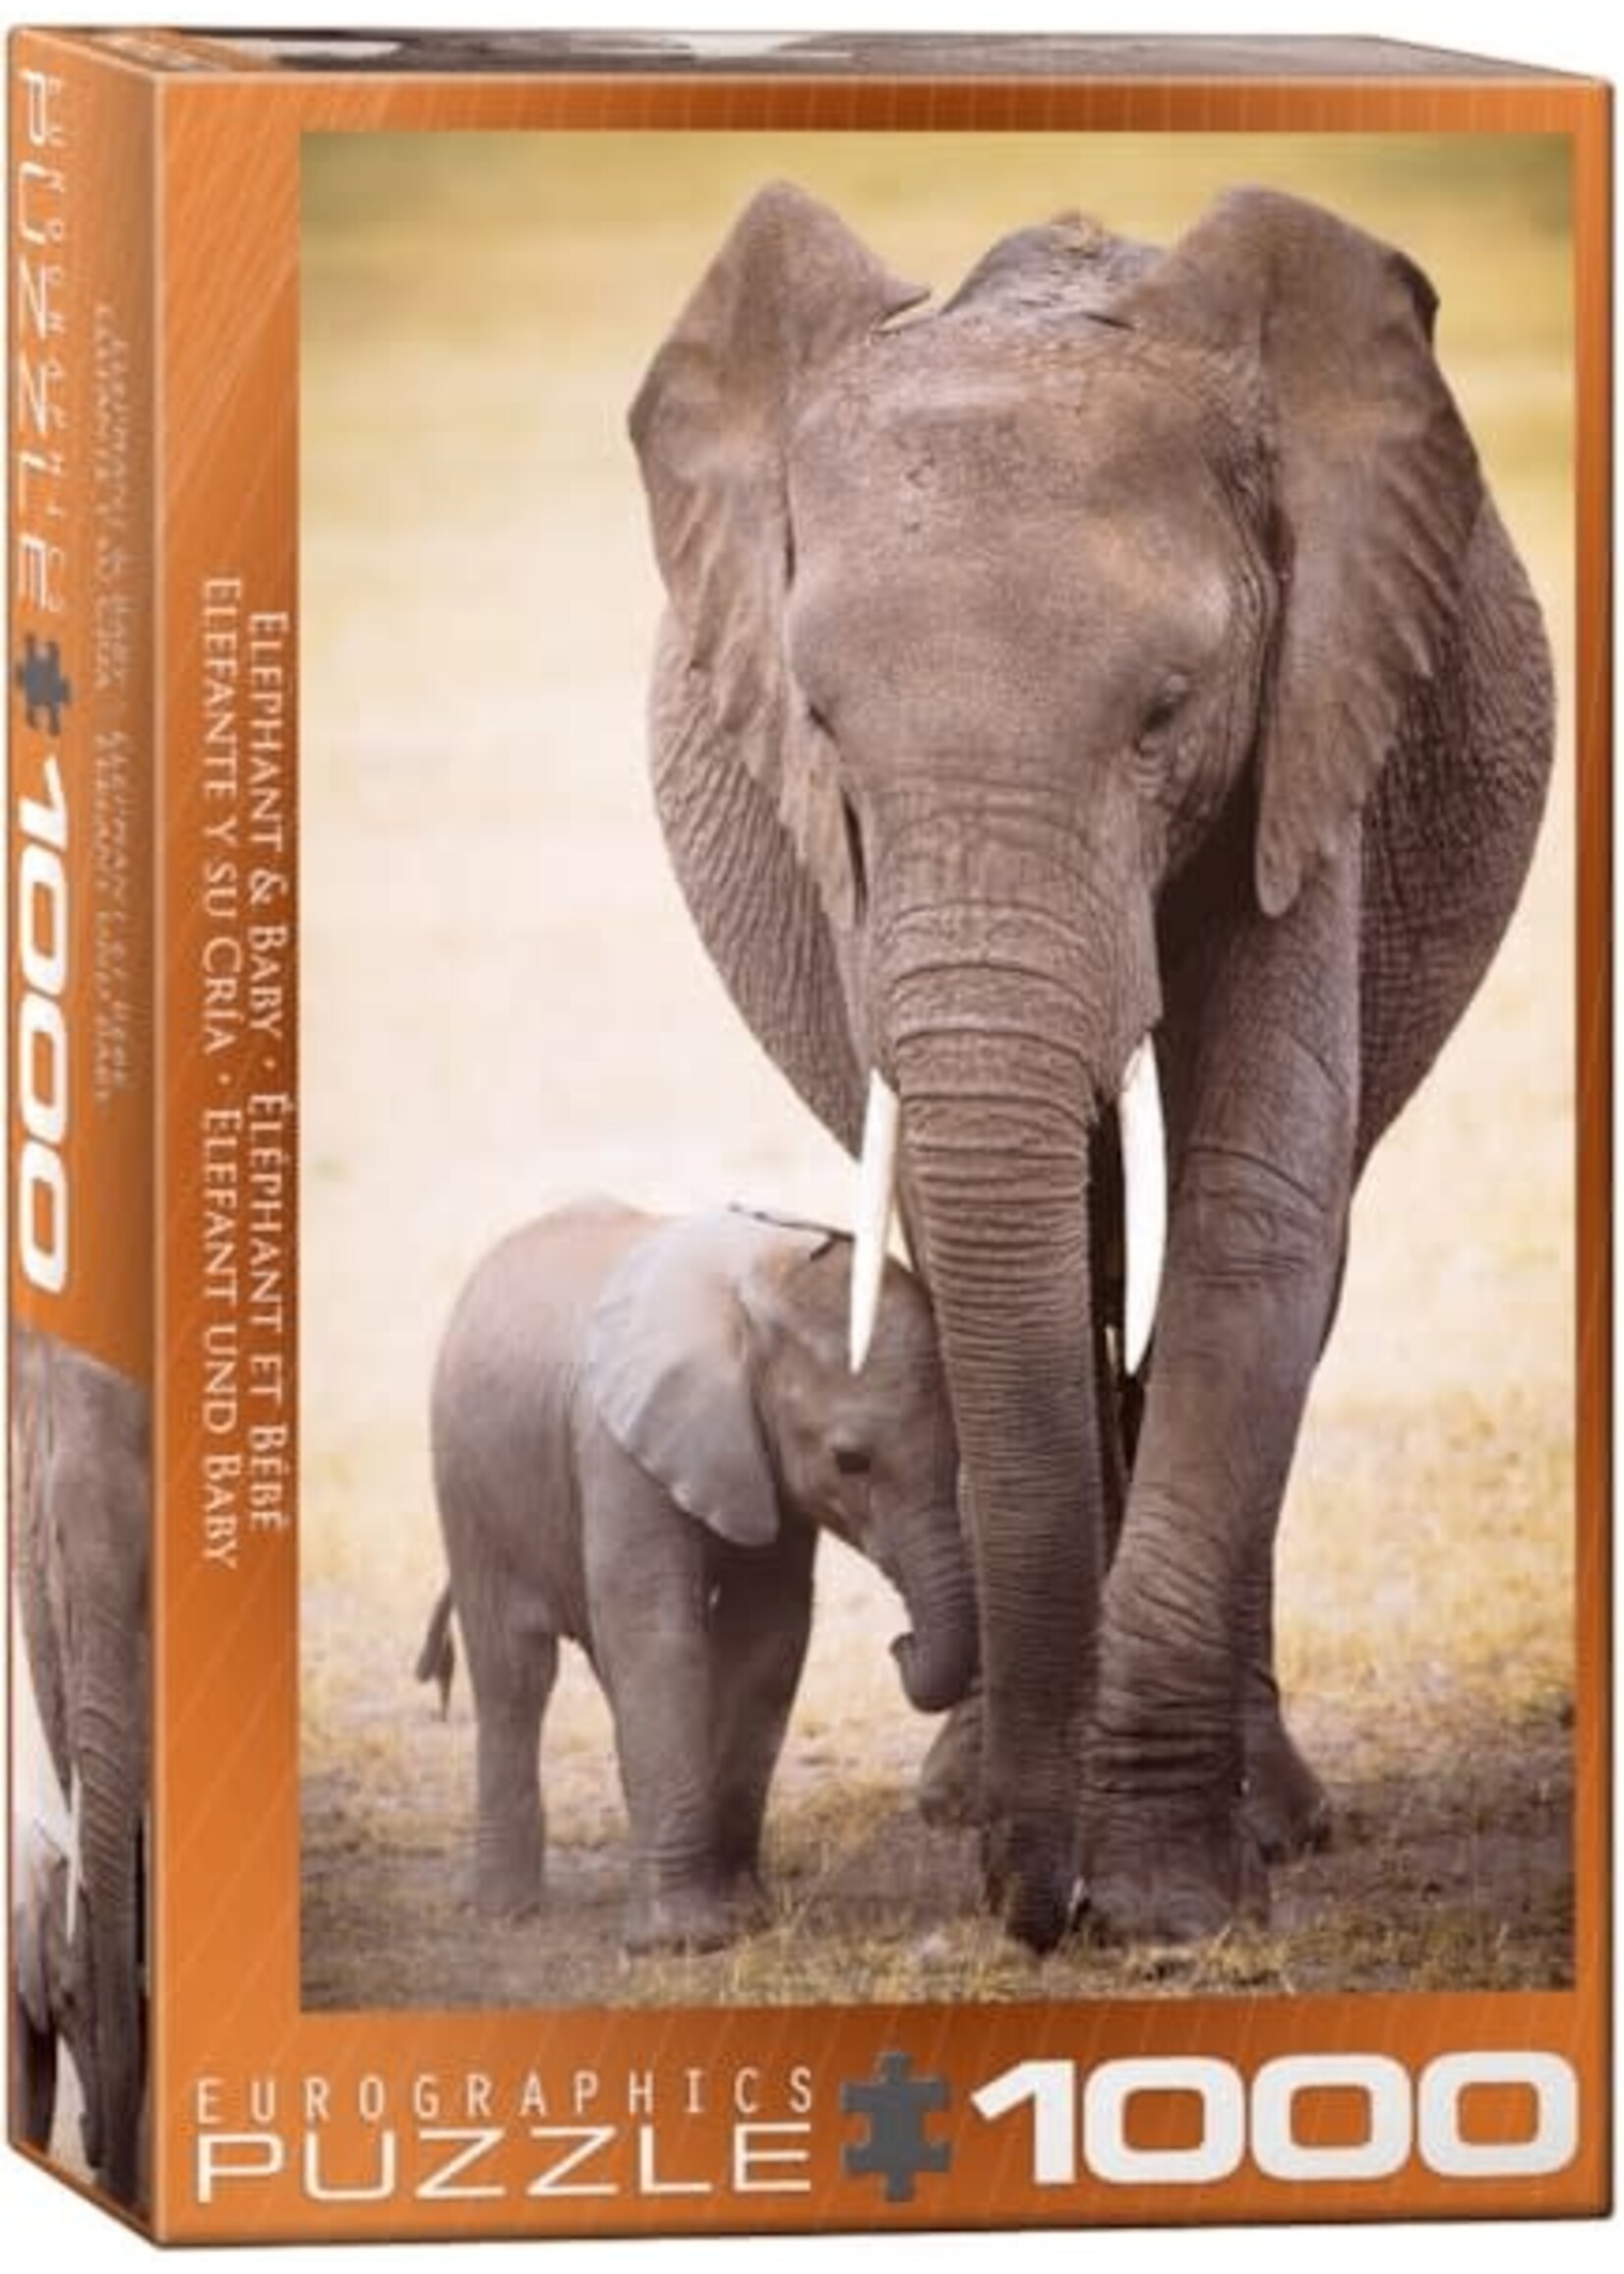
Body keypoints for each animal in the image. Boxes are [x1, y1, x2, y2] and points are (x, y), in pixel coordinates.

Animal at [419, 1196, 975, 1952]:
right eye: (850, 1461)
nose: (902, 1643)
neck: (758, 1286)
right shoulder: (617, 1445)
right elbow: (659, 1635)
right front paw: (682, 1942)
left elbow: (767, 1636)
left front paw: (743, 1912)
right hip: (467, 1483)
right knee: (515, 1674)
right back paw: (505, 1910)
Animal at [629, 183, 1554, 1951]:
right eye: (822, 726)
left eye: (1166, 712)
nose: (1028, 1901)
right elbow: (998, 1230)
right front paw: (1058, 1847)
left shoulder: (1313, 721)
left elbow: (1252, 1211)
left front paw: (1169, 1899)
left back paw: (1273, 1817)